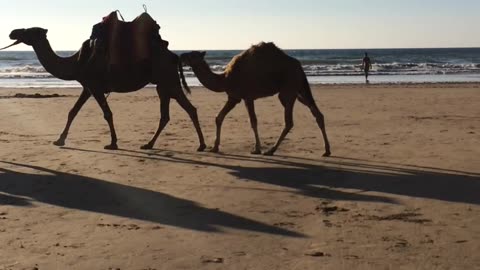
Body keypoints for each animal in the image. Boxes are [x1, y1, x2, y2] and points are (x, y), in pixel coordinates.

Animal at [7, 22, 206, 152]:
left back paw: (200, 145)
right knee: (174, 113)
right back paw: (152, 144)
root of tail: (174, 56)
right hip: (164, 85)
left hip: (168, 80)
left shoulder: (95, 87)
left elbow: (107, 114)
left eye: (30, 31)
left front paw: (112, 143)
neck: (77, 62)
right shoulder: (87, 87)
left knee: (185, 109)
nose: (12, 32)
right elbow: (73, 111)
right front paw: (59, 140)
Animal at [180, 42, 330, 156]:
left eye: (192, 54)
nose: (181, 55)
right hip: (300, 91)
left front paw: (257, 149)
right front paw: (215, 147)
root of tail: (299, 66)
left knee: (289, 122)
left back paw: (271, 150)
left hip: (288, 90)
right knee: (317, 114)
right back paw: (327, 150)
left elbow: (253, 121)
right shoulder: (234, 97)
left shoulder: (247, 97)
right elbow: (219, 117)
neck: (225, 79)